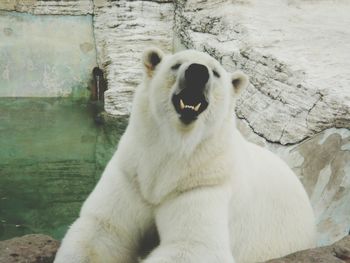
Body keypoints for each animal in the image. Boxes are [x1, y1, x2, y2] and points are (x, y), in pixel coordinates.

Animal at [54, 48, 318, 263]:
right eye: (176, 64)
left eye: (216, 72)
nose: (197, 72)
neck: (176, 148)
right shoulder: (132, 174)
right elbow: (103, 229)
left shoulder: (203, 181)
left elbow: (194, 246)